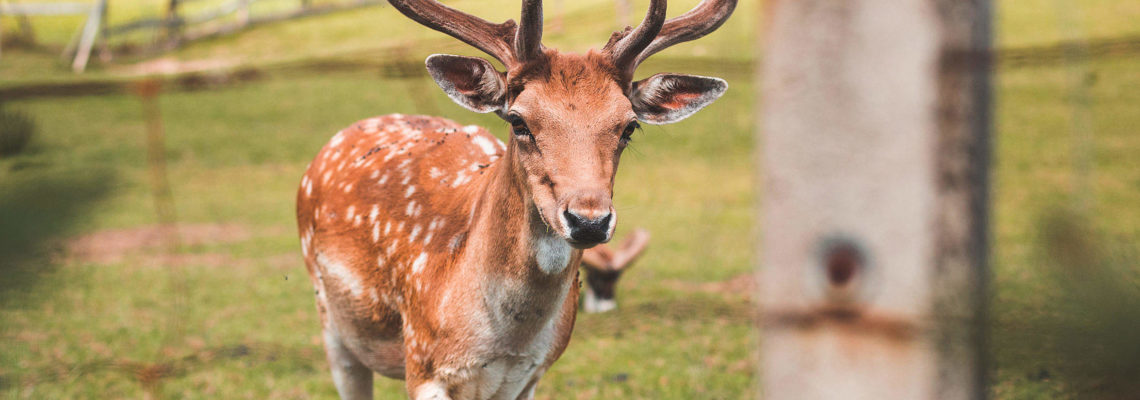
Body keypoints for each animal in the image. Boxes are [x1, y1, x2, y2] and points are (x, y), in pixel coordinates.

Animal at [294, 0, 734, 398]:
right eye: (519, 121)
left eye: (629, 127)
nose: (589, 219)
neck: (506, 344)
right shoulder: (422, 364)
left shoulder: (529, 375)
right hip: (332, 322)